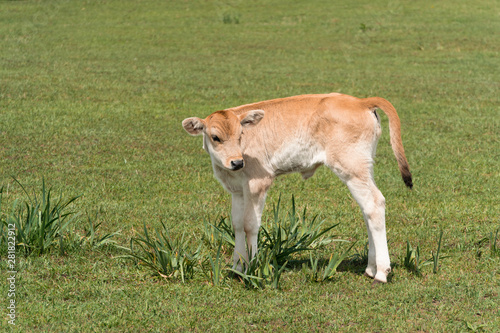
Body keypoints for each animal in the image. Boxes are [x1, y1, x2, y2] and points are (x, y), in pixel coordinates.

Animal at [182, 92, 412, 282]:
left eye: (240, 136)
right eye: (215, 137)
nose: (237, 162)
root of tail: (358, 101)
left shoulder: (258, 184)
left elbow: (250, 225)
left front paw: (253, 268)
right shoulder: (237, 190)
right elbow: (237, 224)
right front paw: (238, 267)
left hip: (352, 168)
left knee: (374, 204)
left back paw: (381, 272)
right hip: (363, 169)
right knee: (367, 210)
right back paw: (371, 268)